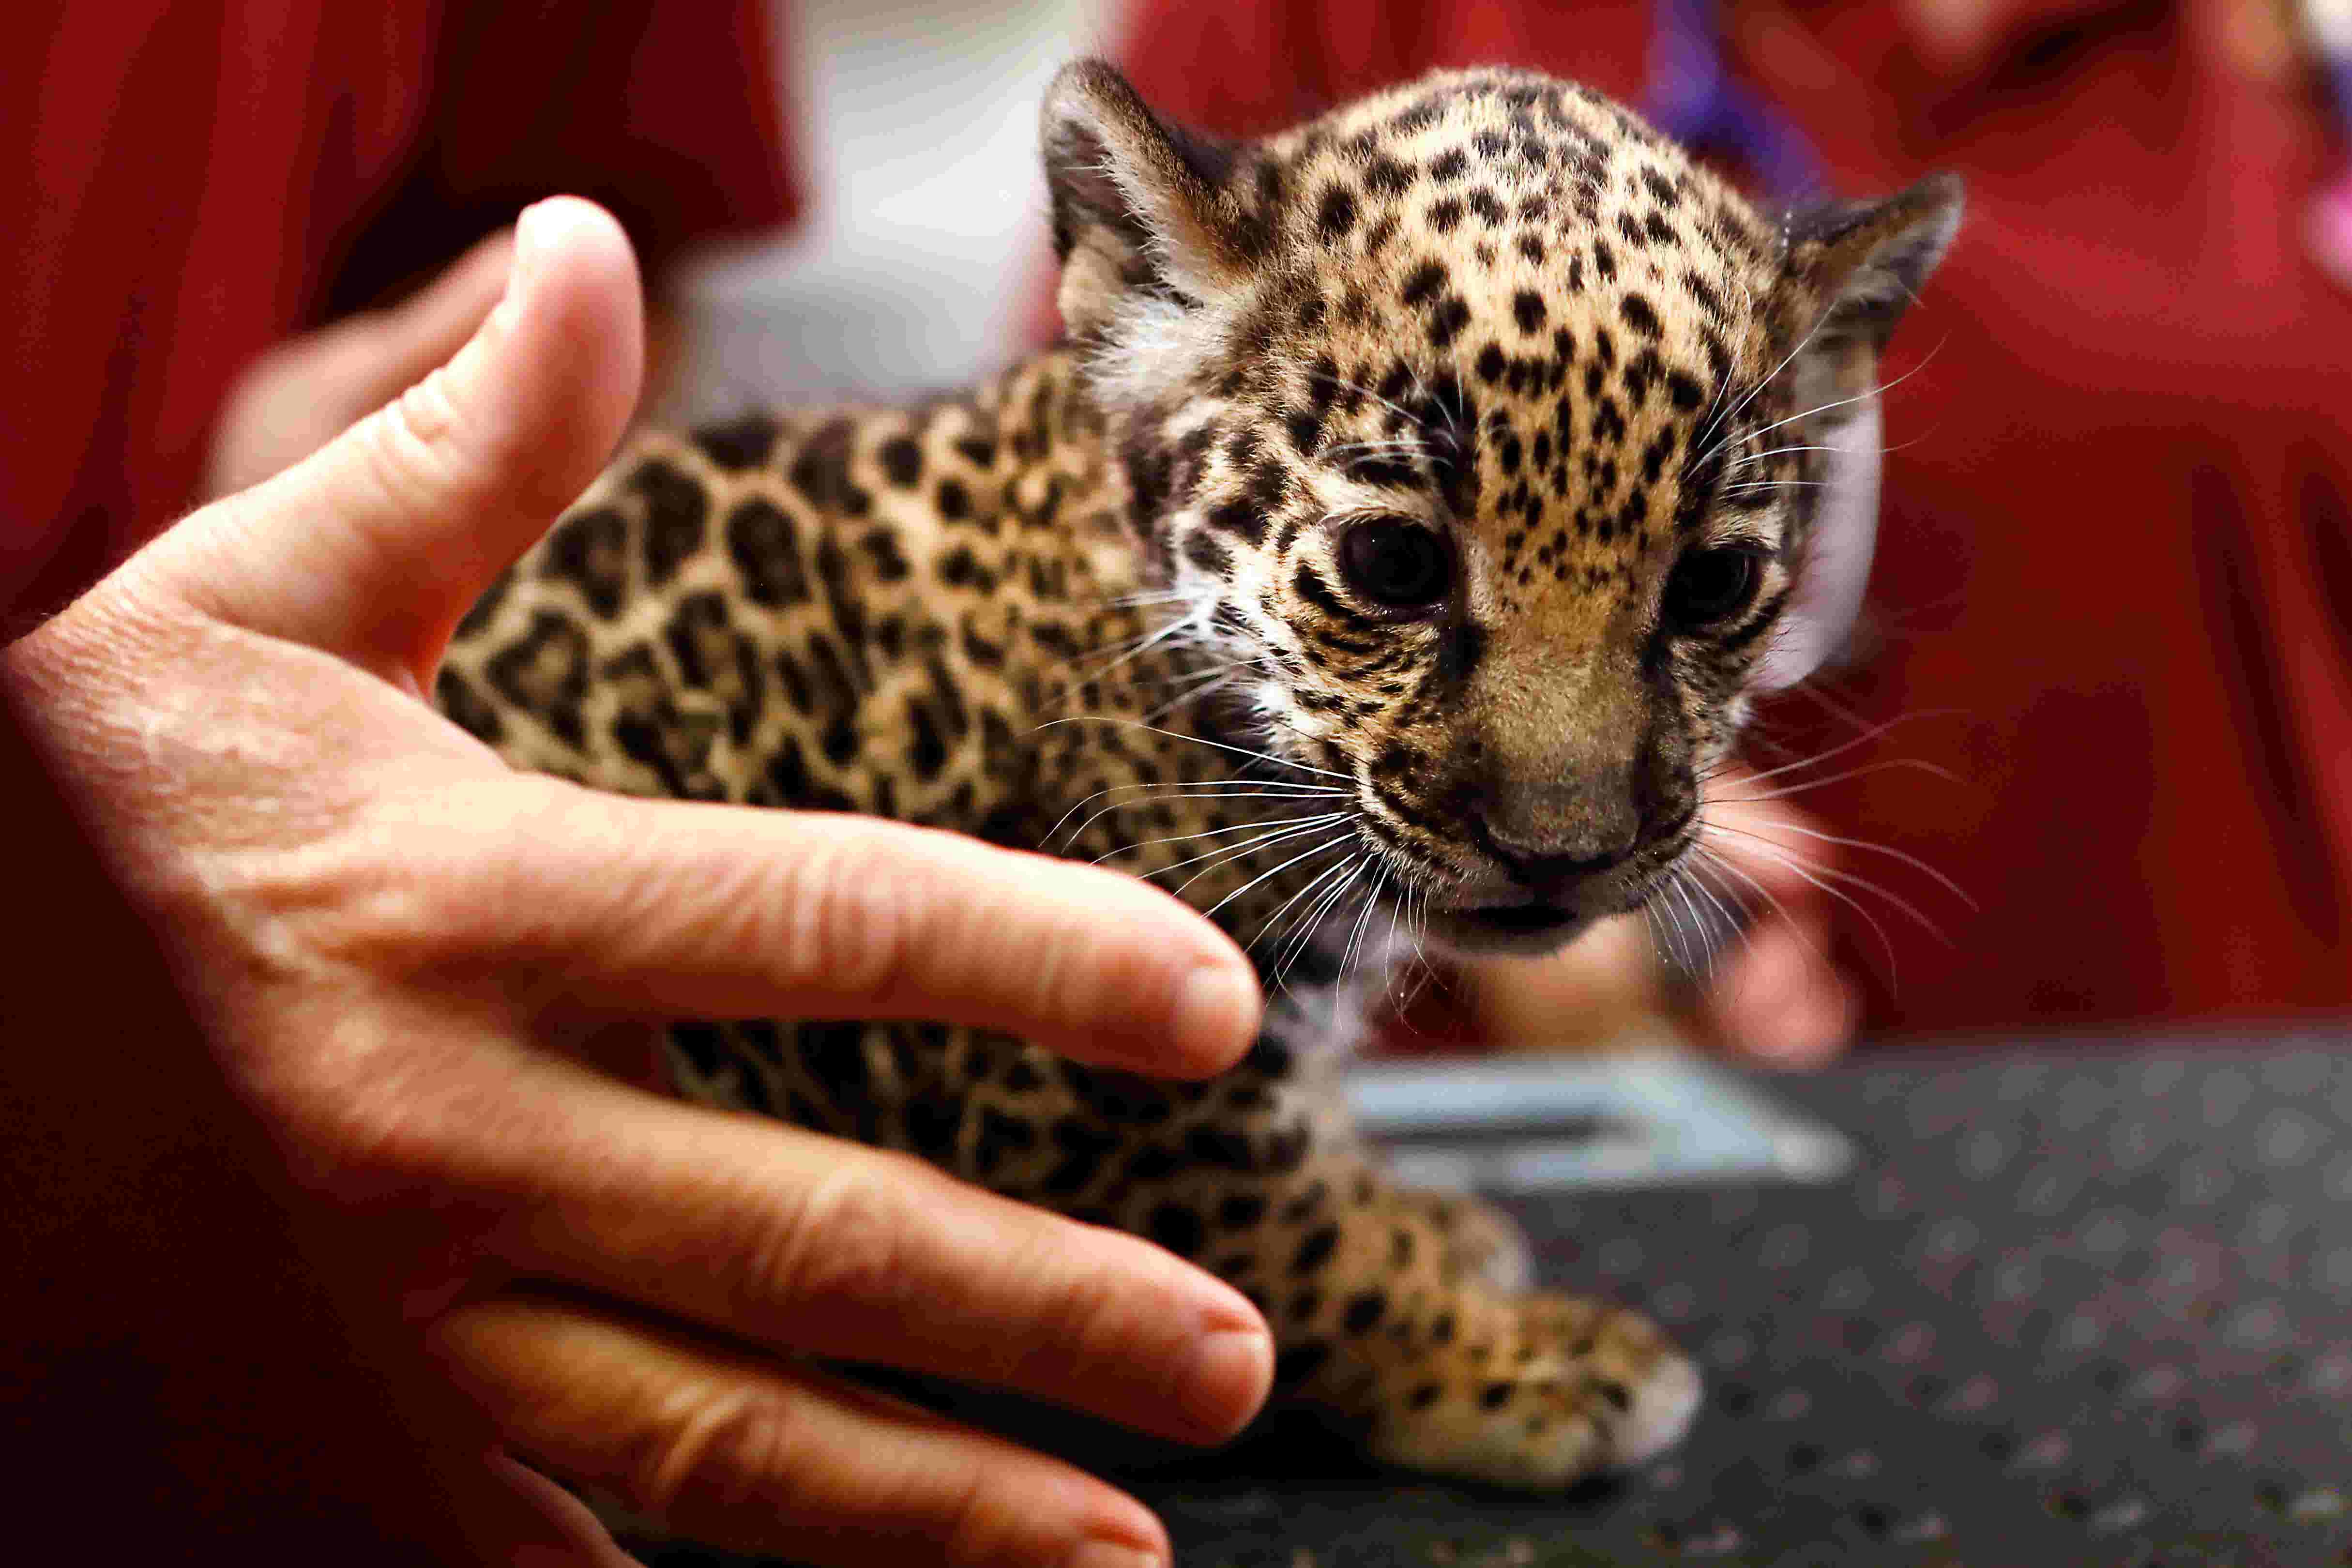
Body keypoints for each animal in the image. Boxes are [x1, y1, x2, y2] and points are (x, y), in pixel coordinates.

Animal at [437, 59, 1960, 1493]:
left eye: (1713, 585)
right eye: (1393, 564)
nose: (1560, 847)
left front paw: (1432, 1226)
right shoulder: (1081, 1070)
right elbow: (1298, 1243)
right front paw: (1514, 1358)